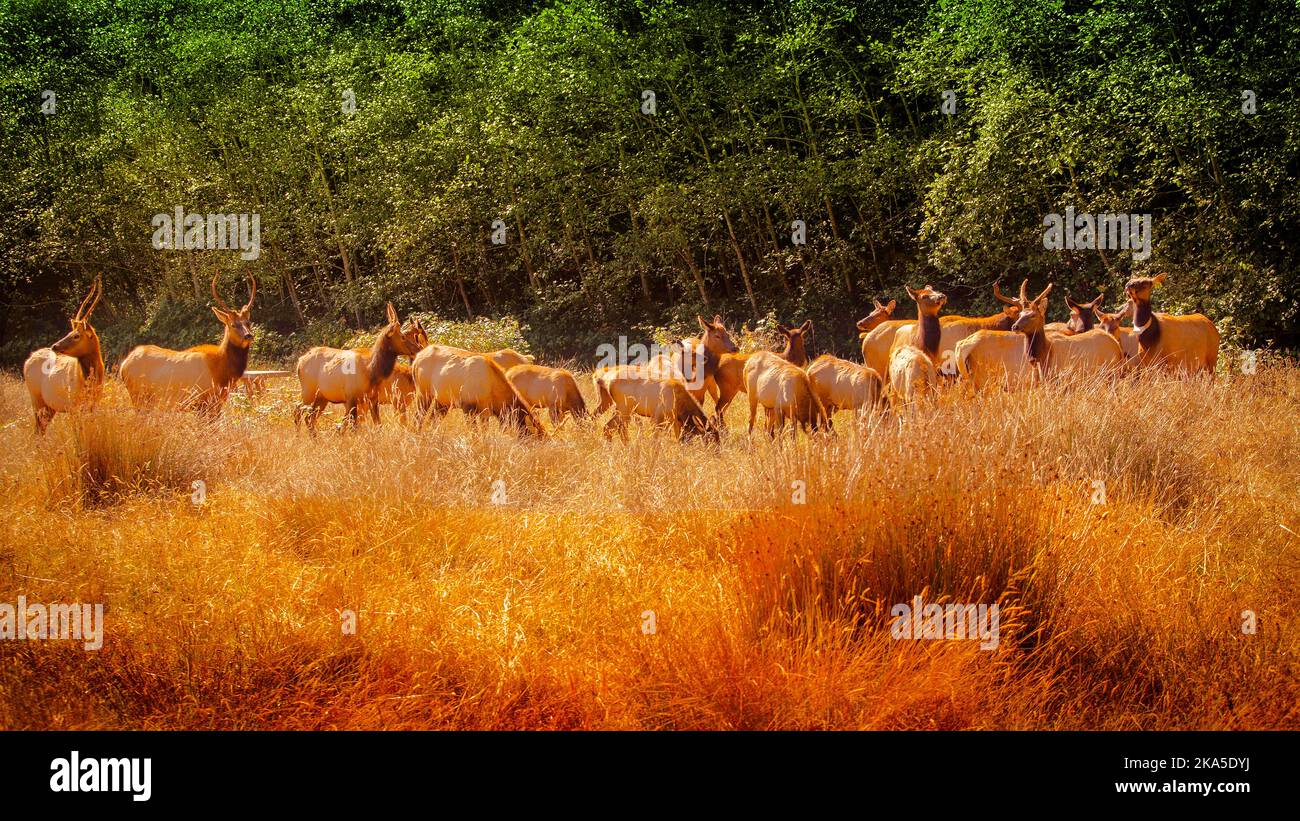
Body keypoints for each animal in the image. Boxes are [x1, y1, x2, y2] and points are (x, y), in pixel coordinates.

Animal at [23, 275, 105, 433]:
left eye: (76, 335)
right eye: (70, 332)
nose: (55, 346)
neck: (88, 380)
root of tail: (28, 360)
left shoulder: (93, 404)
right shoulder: (73, 406)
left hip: (49, 407)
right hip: (36, 400)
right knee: (38, 430)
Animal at [122, 274, 260, 415]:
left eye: (248, 322)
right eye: (233, 325)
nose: (248, 335)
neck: (222, 373)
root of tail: (124, 364)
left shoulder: (216, 403)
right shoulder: (202, 402)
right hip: (139, 397)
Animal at [295, 302, 426, 433]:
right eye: (403, 336)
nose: (418, 350)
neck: (372, 371)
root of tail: (299, 362)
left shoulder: (372, 399)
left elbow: (377, 425)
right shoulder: (352, 398)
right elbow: (353, 427)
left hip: (322, 397)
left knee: (310, 417)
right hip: (309, 392)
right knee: (299, 411)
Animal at [410, 345, 543, 436]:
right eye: (536, 436)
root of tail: (416, 358)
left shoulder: (484, 411)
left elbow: (484, 431)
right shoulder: (467, 407)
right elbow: (474, 432)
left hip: (443, 401)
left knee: (432, 419)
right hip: (423, 394)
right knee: (418, 417)